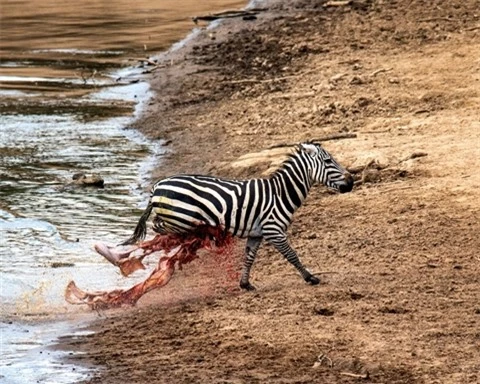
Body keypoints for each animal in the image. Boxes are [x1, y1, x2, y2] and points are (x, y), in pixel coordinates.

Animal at [122, 142, 354, 290]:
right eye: (328, 161)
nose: (351, 183)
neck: (281, 193)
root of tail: (158, 186)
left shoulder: (256, 233)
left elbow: (249, 257)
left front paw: (245, 284)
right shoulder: (274, 230)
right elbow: (292, 255)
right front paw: (310, 277)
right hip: (180, 216)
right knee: (158, 227)